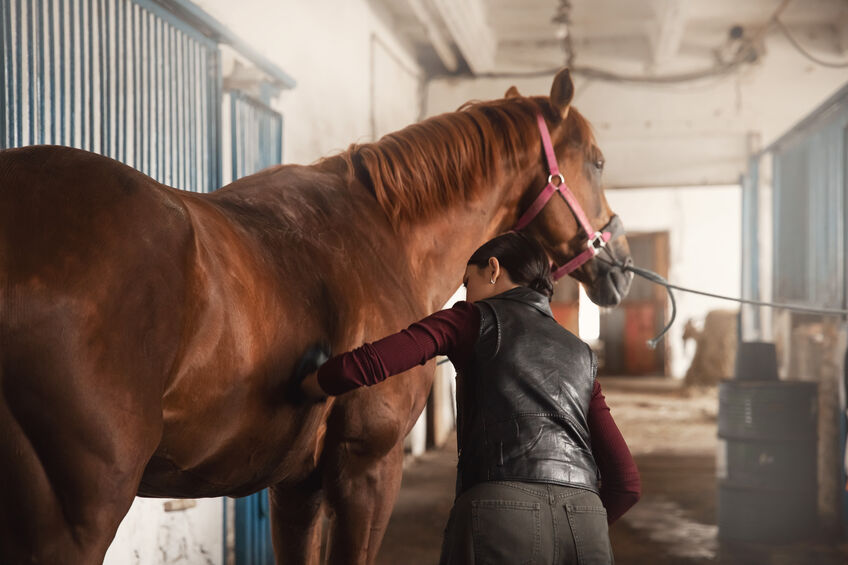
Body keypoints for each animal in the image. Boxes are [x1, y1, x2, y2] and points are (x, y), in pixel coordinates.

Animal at [0, 68, 632, 564]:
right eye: (598, 162)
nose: (622, 266)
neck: (386, 231)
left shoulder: (296, 486)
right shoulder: (367, 470)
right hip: (79, 514)